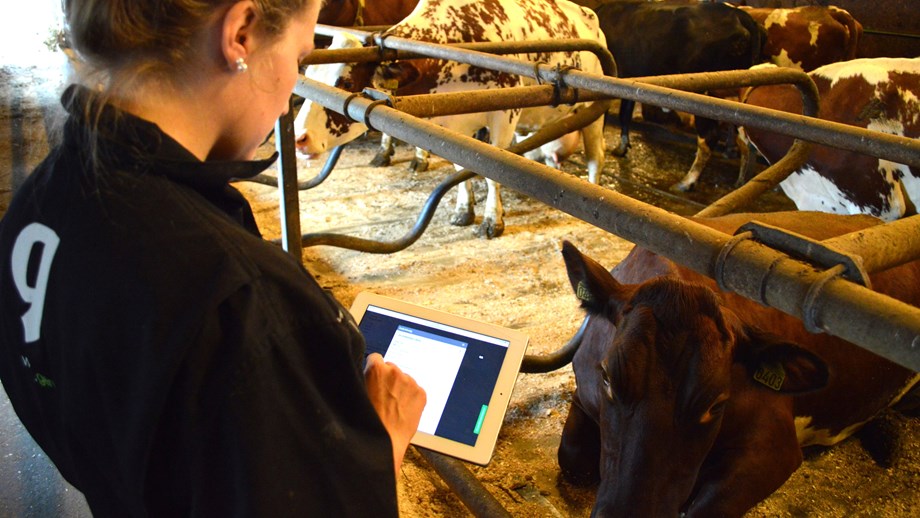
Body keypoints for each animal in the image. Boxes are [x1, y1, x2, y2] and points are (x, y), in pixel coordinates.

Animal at [296, 0, 612, 240]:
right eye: (310, 74)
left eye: (346, 82)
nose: (300, 137)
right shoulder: (447, 123)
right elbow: (463, 167)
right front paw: (464, 210)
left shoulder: (503, 117)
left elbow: (494, 173)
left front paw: (492, 220)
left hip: (593, 111)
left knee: (595, 156)